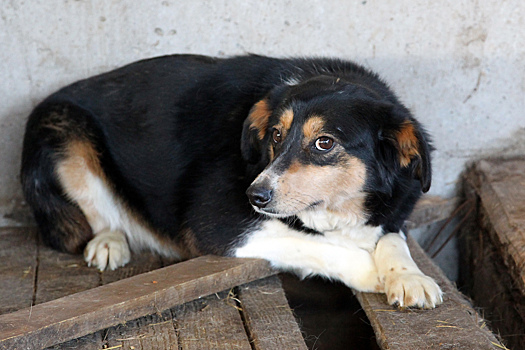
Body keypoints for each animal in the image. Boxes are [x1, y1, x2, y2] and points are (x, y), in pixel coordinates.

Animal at [20, 53, 442, 308]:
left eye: (324, 143)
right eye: (275, 135)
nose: (255, 195)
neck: (339, 211)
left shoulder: (392, 212)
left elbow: (392, 238)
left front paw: (409, 276)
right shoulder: (219, 223)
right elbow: (317, 246)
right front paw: (370, 272)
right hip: (64, 135)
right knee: (96, 213)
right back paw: (109, 242)